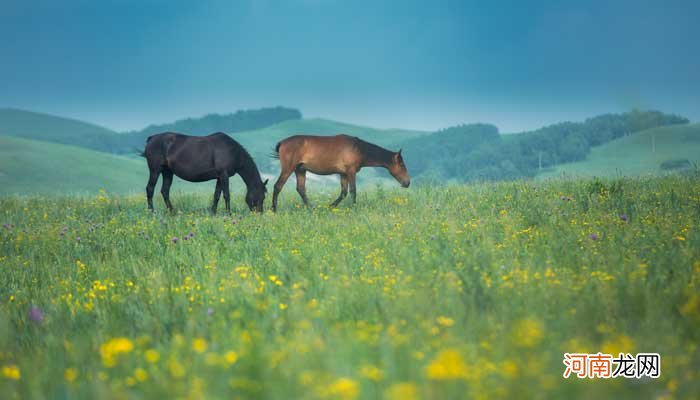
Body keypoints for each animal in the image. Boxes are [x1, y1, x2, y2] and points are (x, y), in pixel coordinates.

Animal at [270, 134, 410, 211]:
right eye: (402, 165)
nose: (407, 183)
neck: (358, 148)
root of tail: (282, 142)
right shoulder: (351, 172)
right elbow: (353, 191)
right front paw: (354, 207)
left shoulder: (343, 174)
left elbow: (343, 193)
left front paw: (330, 206)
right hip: (288, 169)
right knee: (278, 186)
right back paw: (274, 209)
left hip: (300, 170)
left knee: (301, 189)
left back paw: (311, 208)